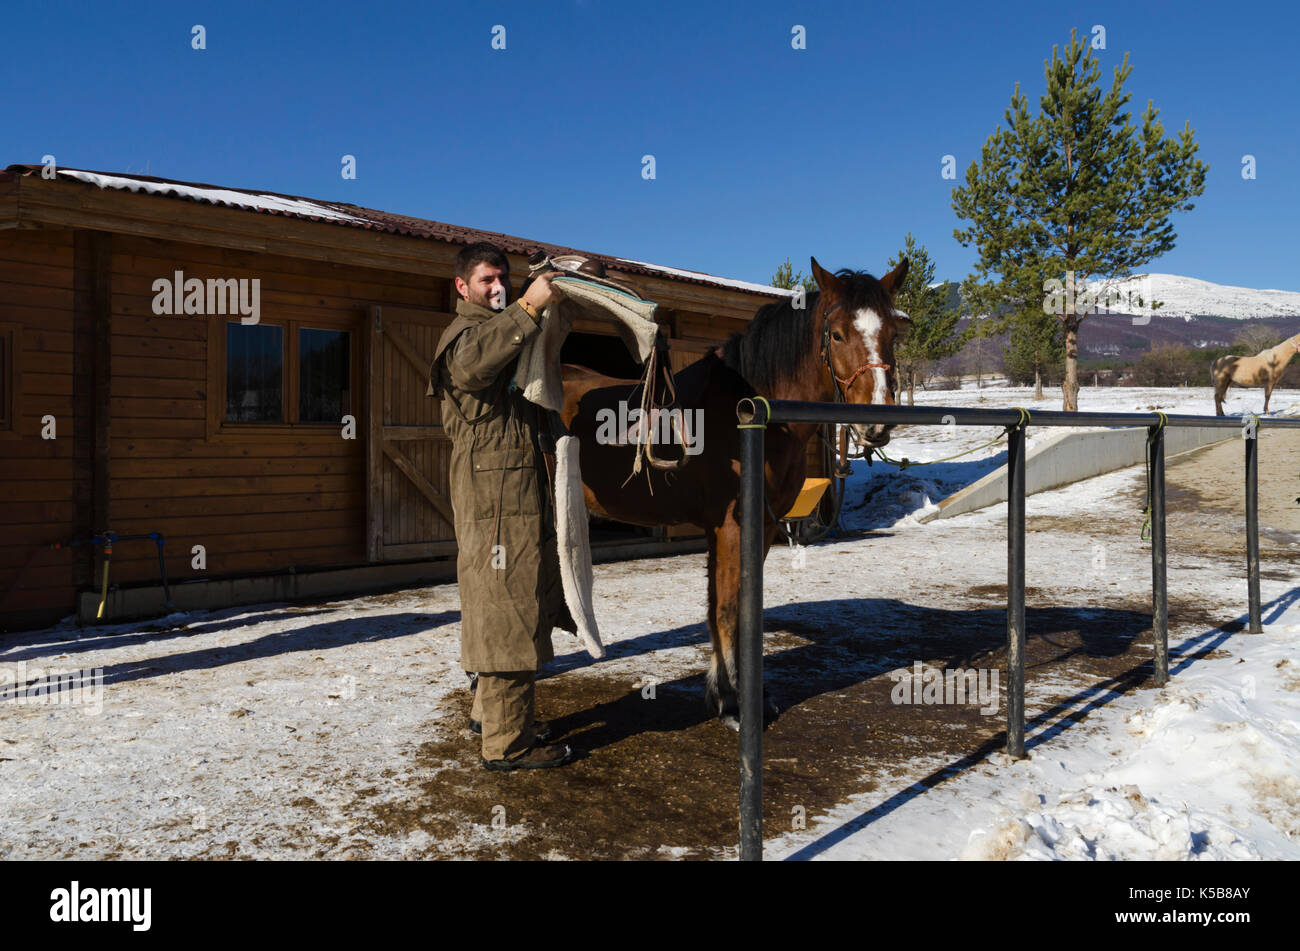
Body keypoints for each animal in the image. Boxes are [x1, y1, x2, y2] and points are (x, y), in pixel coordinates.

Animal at [558, 257, 911, 728]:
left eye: (893, 334)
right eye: (837, 334)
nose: (877, 424)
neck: (749, 414)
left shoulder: (760, 526)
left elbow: (735, 608)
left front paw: (735, 694)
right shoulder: (731, 526)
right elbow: (728, 609)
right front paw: (734, 704)